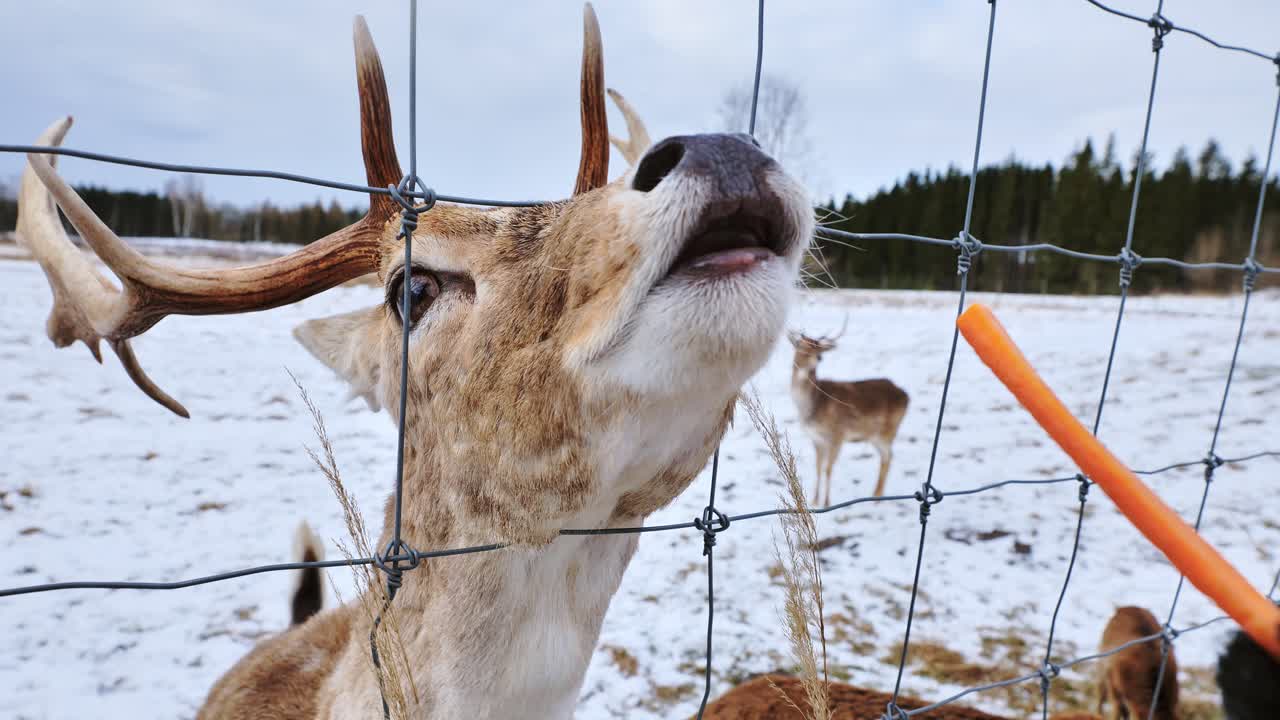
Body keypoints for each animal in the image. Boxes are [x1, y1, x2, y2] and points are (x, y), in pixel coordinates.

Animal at [787, 322, 909, 505]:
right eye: (801, 345)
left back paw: (877, 498)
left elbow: (828, 468)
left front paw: (826, 502)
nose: (818, 358)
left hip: (888, 431)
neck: (812, 407)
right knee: (885, 457)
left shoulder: (837, 434)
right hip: (875, 435)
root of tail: (906, 395)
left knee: (888, 456)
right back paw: (876, 495)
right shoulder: (816, 438)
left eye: (819, 348)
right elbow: (818, 467)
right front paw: (815, 501)